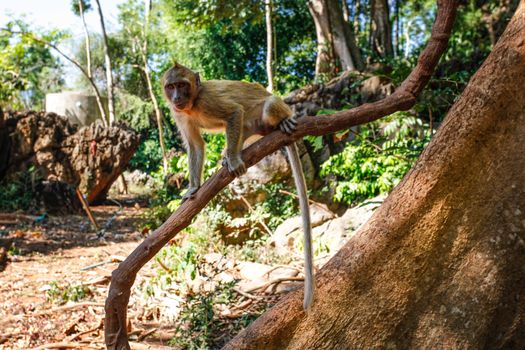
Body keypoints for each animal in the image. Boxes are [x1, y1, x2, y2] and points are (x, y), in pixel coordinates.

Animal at [162, 62, 314, 308]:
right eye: (171, 86)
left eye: (182, 85)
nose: (176, 97)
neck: (193, 103)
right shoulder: (180, 114)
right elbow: (195, 145)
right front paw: (194, 187)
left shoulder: (208, 101)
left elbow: (233, 113)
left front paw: (233, 159)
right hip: (252, 128)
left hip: (269, 110)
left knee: (267, 106)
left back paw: (278, 123)